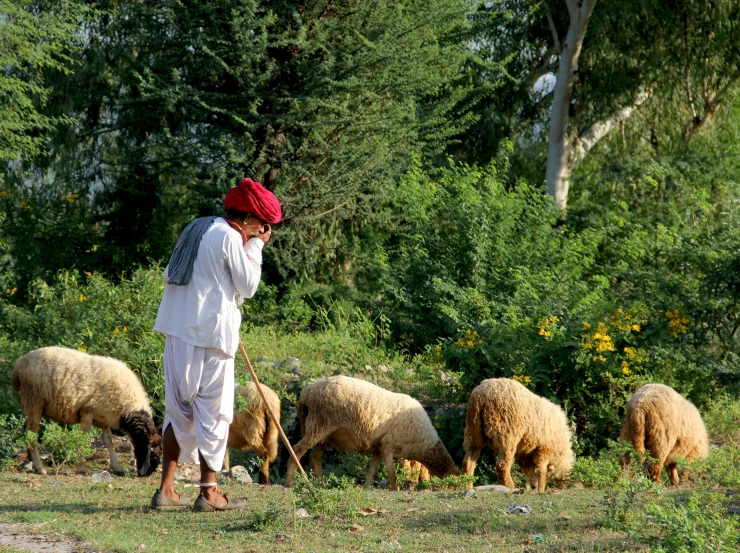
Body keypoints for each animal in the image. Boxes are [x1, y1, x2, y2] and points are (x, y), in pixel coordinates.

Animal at [11, 344, 163, 474]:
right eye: (153, 453)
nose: (147, 473)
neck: (128, 406)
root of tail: (18, 365)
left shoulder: (104, 418)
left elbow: (109, 441)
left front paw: (117, 466)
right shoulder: (87, 412)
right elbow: (83, 438)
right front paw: (81, 467)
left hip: (32, 404)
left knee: (27, 428)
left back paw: (30, 460)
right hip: (35, 400)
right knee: (32, 433)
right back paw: (40, 468)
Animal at [284, 376, 462, 488]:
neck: (423, 443)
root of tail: (305, 393)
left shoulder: (379, 448)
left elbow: (373, 470)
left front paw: (367, 487)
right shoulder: (388, 445)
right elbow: (392, 474)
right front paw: (395, 489)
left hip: (322, 433)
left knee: (314, 458)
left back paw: (320, 484)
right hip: (318, 426)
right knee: (296, 450)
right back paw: (290, 482)